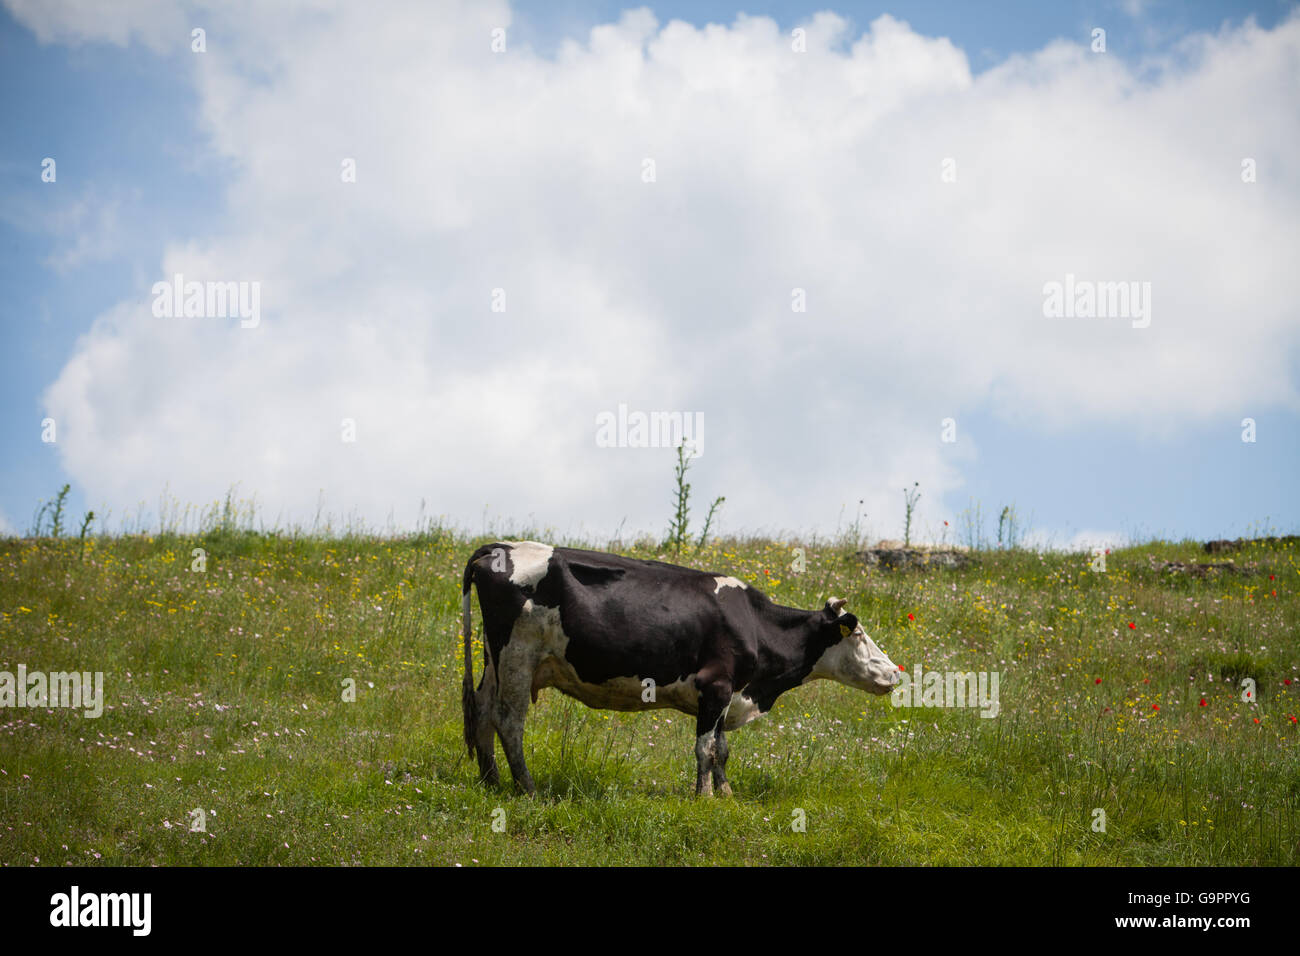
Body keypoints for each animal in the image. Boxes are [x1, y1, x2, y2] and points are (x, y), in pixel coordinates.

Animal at [460, 541, 899, 796]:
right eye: (859, 634)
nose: (896, 671)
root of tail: (500, 545)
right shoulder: (716, 685)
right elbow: (706, 748)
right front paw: (703, 797)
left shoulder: (727, 694)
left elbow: (723, 749)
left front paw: (726, 796)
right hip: (517, 654)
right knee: (508, 719)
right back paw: (528, 789)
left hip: (495, 660)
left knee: (481, 709)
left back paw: (489, 780)